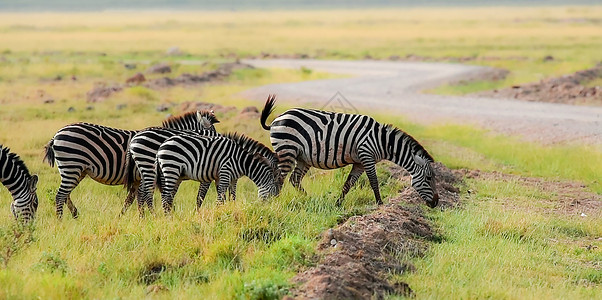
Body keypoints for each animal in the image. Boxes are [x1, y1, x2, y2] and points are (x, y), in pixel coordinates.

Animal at [44, 110, 219, 218]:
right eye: (210, 139)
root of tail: (57, 134)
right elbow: (152, 196)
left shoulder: (137, 179)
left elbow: (129, 200)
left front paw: (122, 217)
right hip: (72, 165)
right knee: (60, 195)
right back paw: (60, 222)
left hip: (77, 170)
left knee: (65, 194)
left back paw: (74, 214)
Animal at [123, 127, 282, 217]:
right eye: (279, 181)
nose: (272, 205)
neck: (240, 158)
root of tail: (134, 138)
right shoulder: (220, 172)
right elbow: (208, 197)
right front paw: (213, 214)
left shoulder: (224, 176)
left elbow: (229, 195)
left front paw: (227, 210)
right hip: (156, 167)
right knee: (152, 193)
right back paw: (159, 216)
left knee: (144, 192)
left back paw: (146, 216)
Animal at [258, 96, 436, 209]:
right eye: (429, 178)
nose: (436, 203)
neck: (383, 141)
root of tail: (277, 119)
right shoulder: (366, 155)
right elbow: (374, 182)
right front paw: (380, 204)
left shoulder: (359, 162)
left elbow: (348, 184)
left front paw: (337, 203)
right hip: (287, 150)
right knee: (279, 177)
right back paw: (276, 201)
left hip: (302, 157)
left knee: (294, 179)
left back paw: (309, 198)